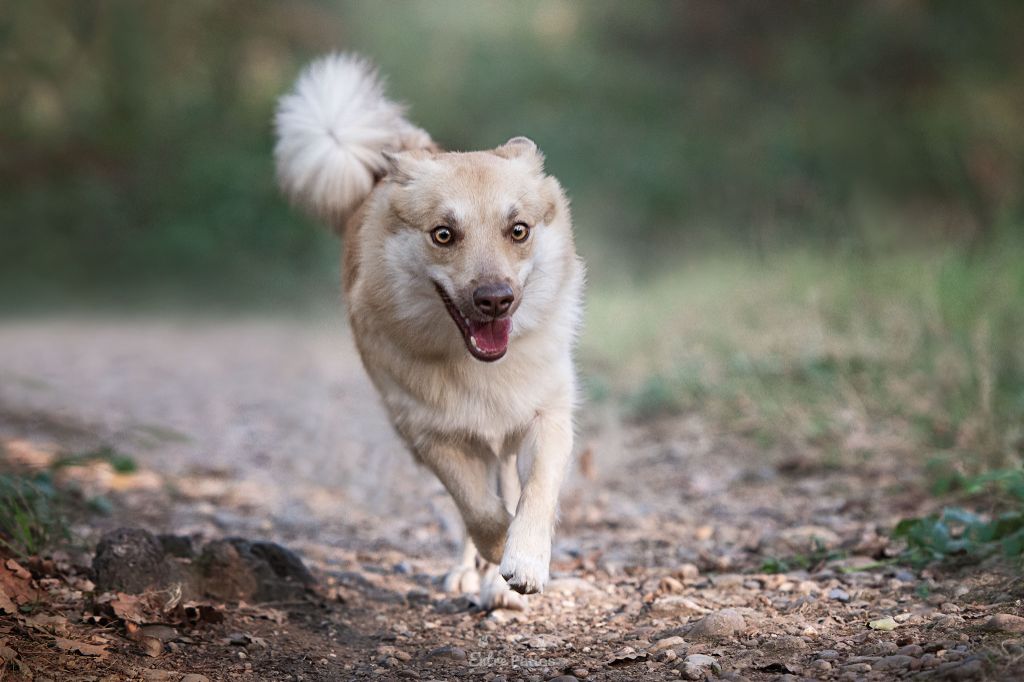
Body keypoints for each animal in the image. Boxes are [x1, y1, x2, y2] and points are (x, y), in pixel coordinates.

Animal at [272, 53, 585, 606]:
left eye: (518, 230)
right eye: (443, 234)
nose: (495, 299)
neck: (481, 366)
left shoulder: (546, 415)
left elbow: (535, 493)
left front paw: (523, 562)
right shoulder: (428, 432)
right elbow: (478, 509)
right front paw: (495, 551)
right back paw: (470, 571)